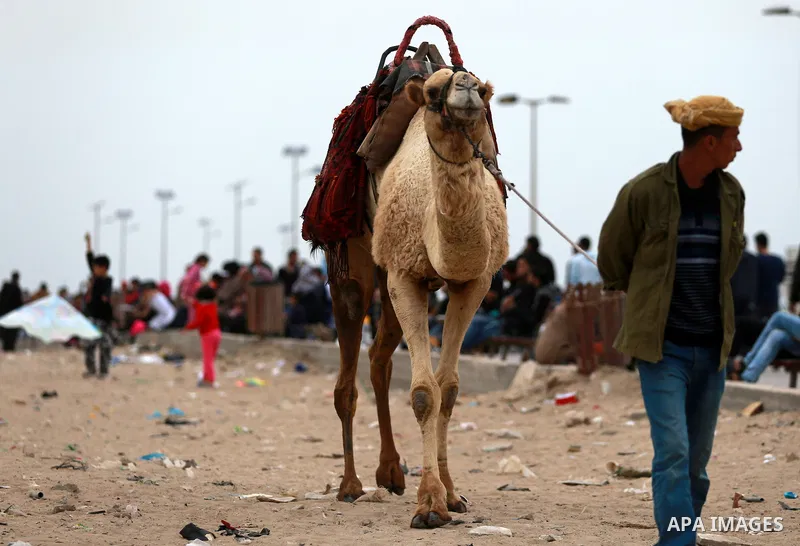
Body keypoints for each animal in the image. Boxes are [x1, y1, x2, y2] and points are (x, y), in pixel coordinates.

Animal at [327, 68, 508, 529]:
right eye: (432, 94)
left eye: (483, 89)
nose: (465, 87)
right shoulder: (405, 275)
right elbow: (425, 393)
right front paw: (429, 504)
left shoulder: (474, 282)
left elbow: (450, 388)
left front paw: (452, 493)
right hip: (354, 259)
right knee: (348, 374)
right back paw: (350, 485)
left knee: (379, 358)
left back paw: (391, 473)